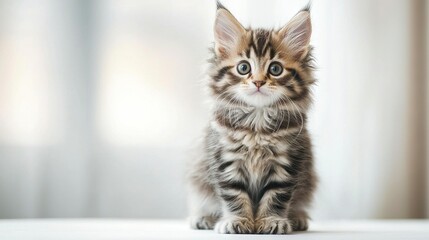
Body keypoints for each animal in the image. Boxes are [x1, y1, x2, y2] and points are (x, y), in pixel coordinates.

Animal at [189, 1, 316, 234]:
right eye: (243, 67)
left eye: (275, 69)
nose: (258, 82)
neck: (257, 124)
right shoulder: (225, 160)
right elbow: (233, 195)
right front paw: (237, 220)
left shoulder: (287, 162)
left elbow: (276, 195)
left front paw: (272, 220)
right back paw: (204, 218)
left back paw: (297, 217)